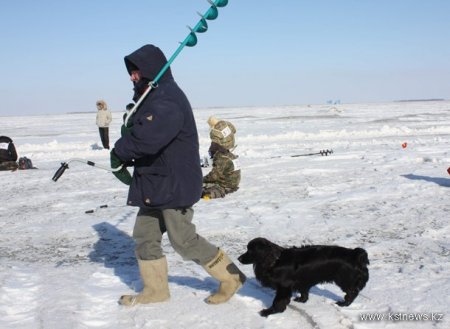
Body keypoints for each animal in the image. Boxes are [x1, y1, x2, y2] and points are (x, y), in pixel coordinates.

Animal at [237, 237, 368, 316]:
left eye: (250, 251)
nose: (239, 258)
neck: (275, 260)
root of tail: (355, 254)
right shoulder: (303, 281)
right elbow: (304, 292)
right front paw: (302, 300)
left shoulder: (283, 287)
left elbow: (278, 301)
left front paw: (270, 311)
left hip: (344, 280)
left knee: (352, 292)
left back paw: (344, 303)